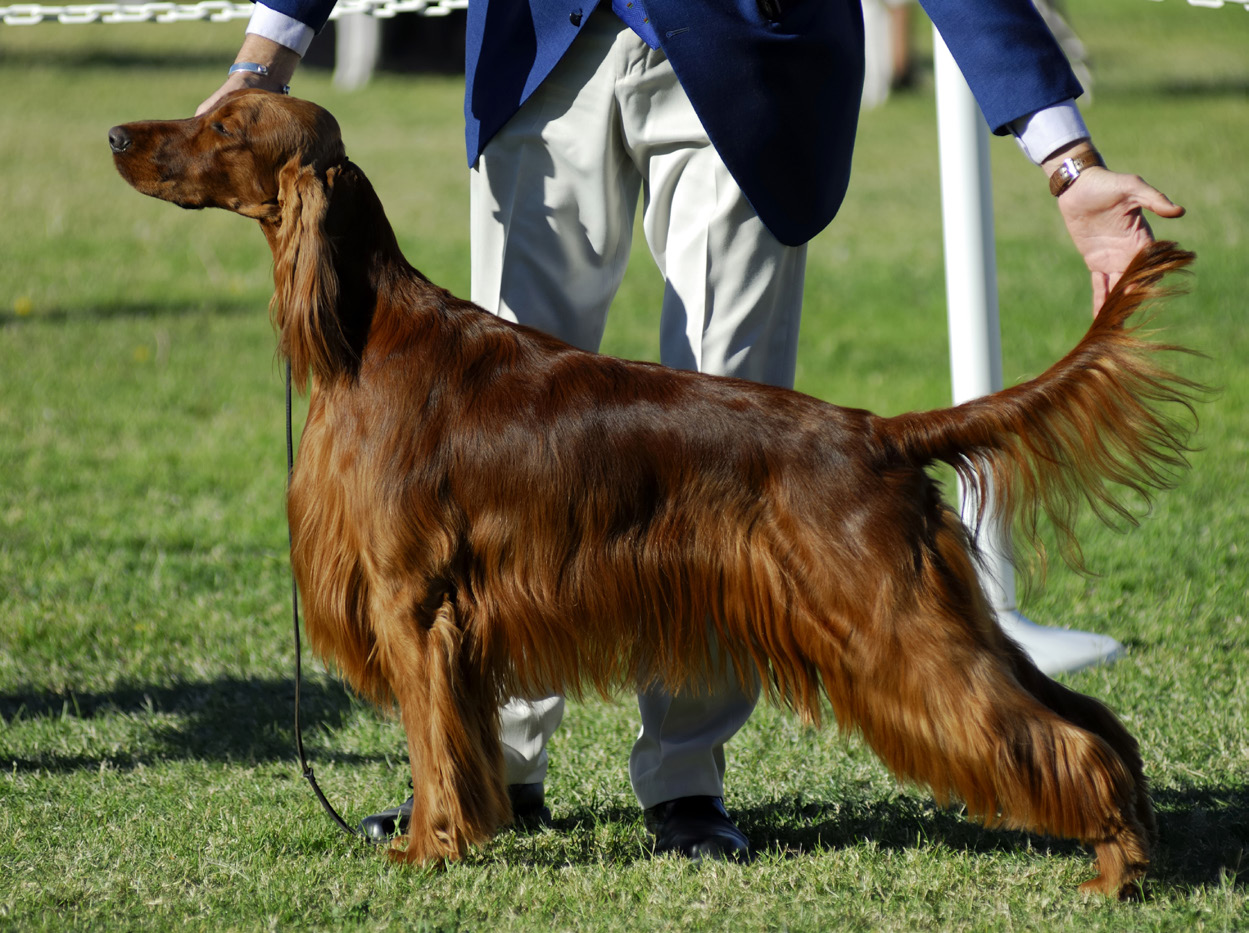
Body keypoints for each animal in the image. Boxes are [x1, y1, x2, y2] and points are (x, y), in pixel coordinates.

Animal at [114, 89, 1199, 899]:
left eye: (225, 127)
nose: (119, 135)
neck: (364, 332)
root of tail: (875, 432)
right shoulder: (454, 623)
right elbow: (460, 744)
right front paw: (465, 833)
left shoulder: (413, 603)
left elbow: (430, 749)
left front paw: (428, 850)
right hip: (938, 612)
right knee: (1090, 719)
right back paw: (1134, 847)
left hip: (895, 625)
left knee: (1056, 736)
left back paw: (1112, 868)